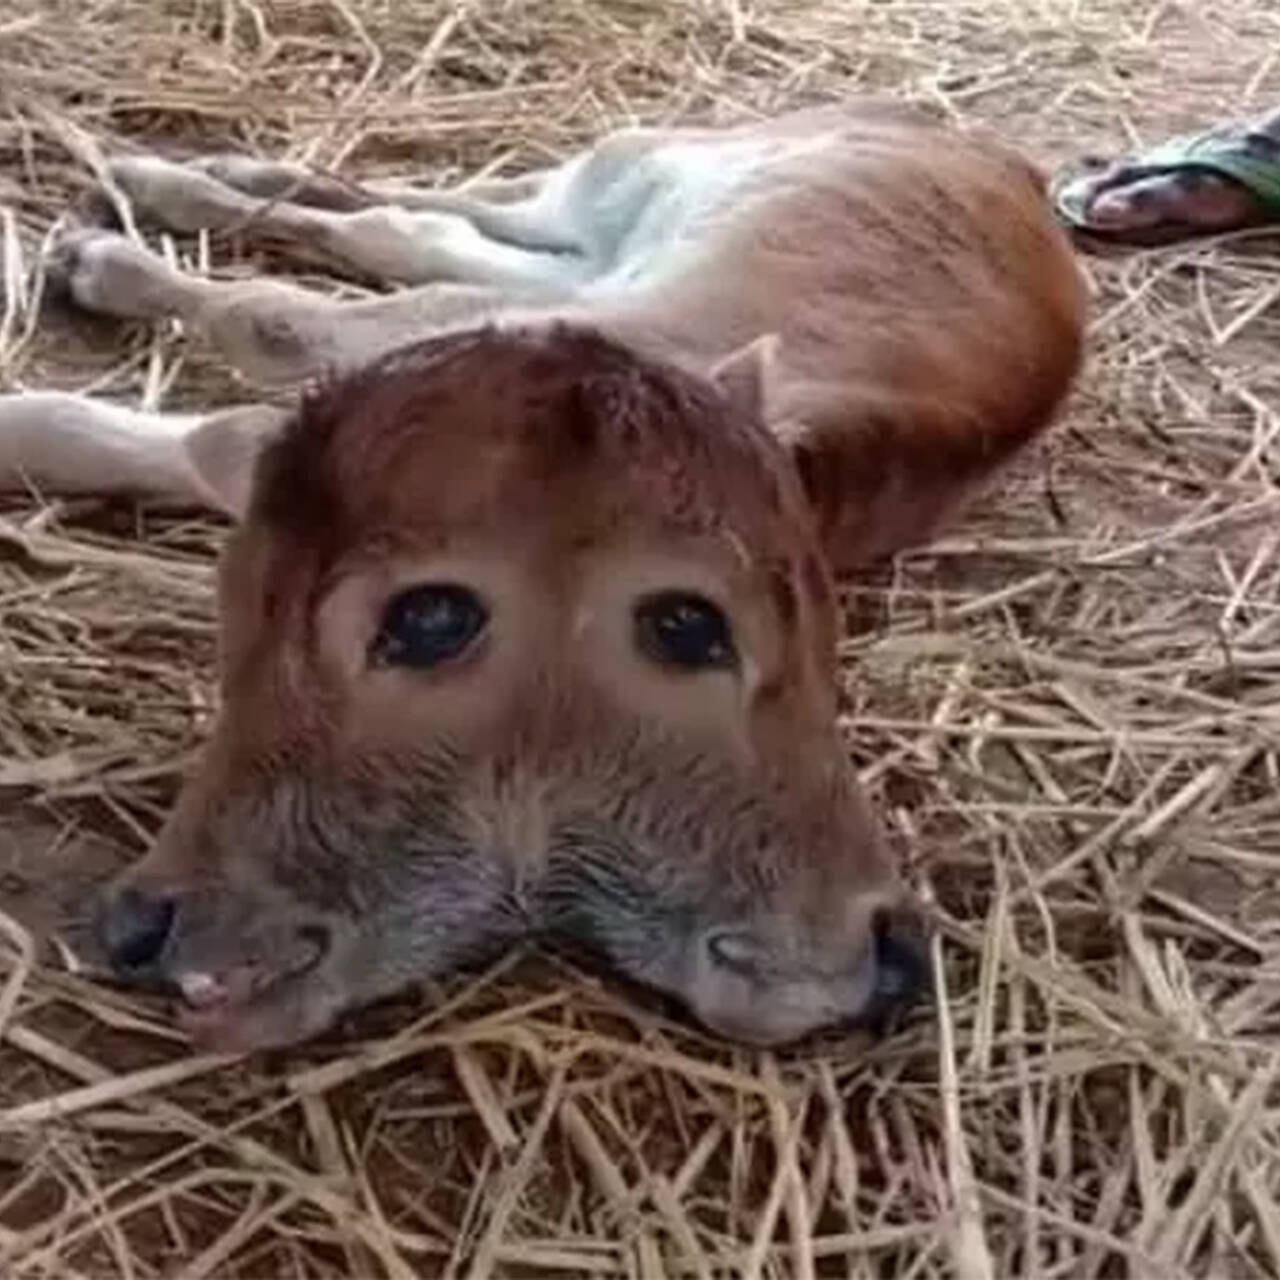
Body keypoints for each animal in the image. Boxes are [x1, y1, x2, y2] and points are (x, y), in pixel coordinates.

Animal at [0, 102, 1090, 1049]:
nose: (883, 955)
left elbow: (238, 396)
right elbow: (269, 341)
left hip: (600, 225)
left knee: (419, 231)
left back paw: (153, 209)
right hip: (628, 183)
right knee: (427, 219)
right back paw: (160, 195)